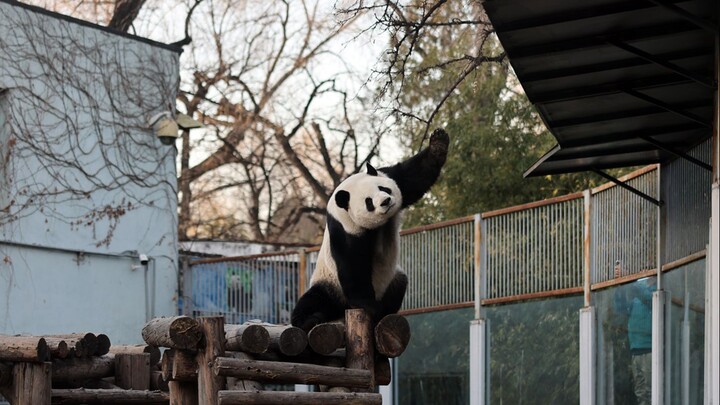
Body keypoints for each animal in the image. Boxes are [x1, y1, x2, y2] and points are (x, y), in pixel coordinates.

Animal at [290, 128, 448, 330]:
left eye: (384, 189)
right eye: (369, 202)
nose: (386, 201)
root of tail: (343, 310)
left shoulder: (390, 175)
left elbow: (415, 176)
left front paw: (438, 142)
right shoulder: (345, 227)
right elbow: (353, 265)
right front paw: (370, 305)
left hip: (392, 280)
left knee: (399, 285)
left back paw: (384, 312)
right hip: (330, 284)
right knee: (313, 300)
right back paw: (310, 319)